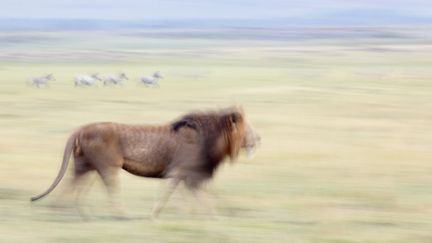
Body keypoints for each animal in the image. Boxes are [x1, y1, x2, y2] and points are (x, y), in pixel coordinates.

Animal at [31, 106, 260, 218]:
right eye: (247, 128)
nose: (258, 138)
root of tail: (81, 128)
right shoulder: (182, 172)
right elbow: (186, 195)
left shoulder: (188, 175)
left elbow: (197, 196)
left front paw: (195, 214)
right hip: (107, 166)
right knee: (109, 190)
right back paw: (120, 215)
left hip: (86, 165)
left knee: (73, 185)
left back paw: (69, 211)